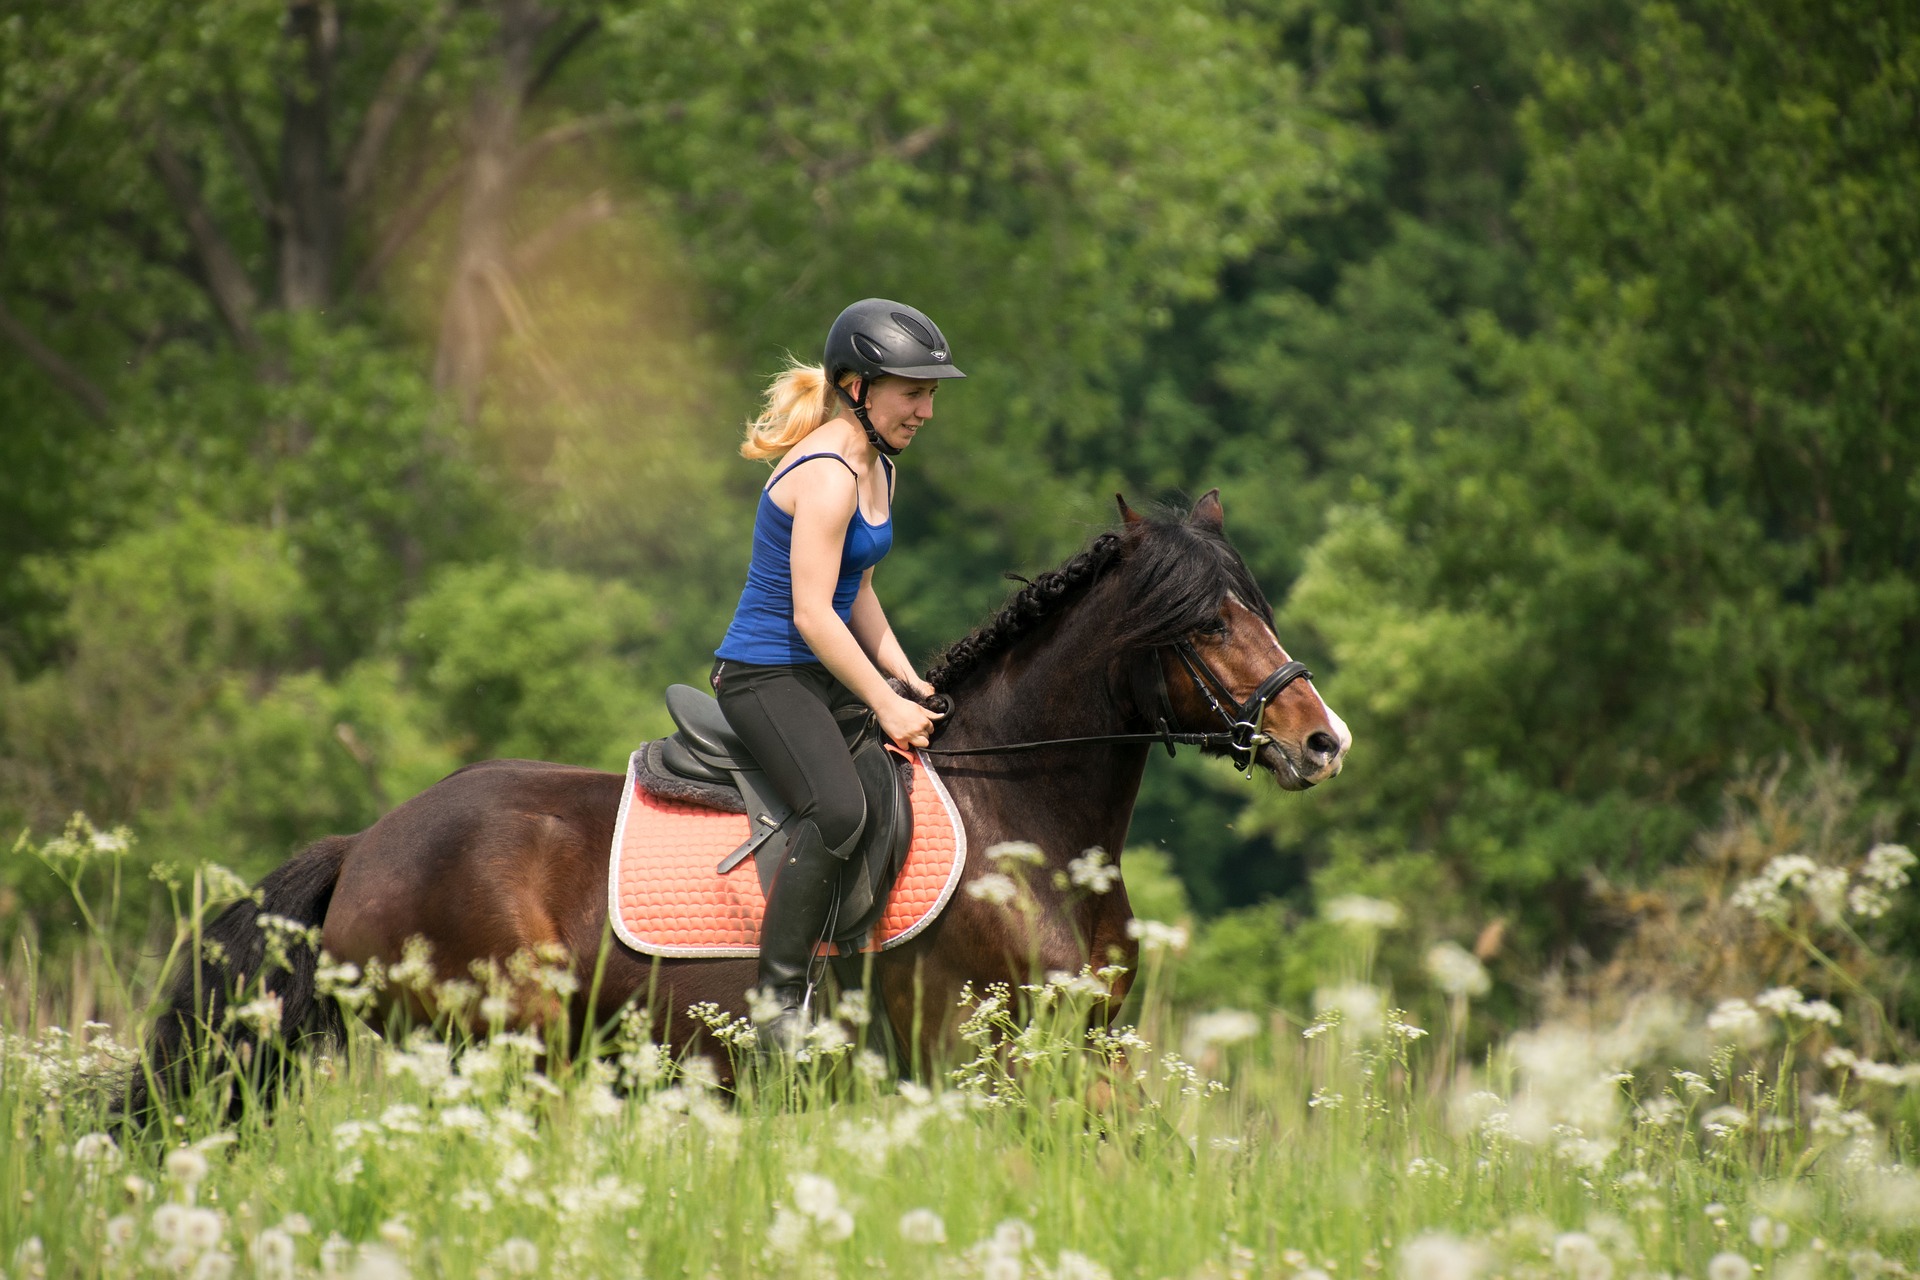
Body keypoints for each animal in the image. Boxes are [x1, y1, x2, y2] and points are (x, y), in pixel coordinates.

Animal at [131, 495, 1351, 1105]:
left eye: (1256, 604)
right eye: (1205, 622)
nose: (1321, 740)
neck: (1033, 829)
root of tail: (371, 841)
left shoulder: (1089, 1049)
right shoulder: (978, 1055)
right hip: (500, 1048)